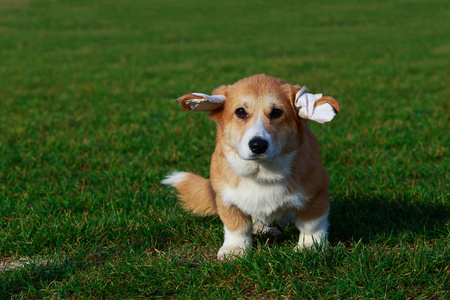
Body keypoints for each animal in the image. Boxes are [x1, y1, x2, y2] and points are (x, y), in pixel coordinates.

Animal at [161, 74, 338, 258]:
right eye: (240, 112)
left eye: (276, 112)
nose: (258, 145)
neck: (261, 172)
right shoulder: (227, 199)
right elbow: (237, 226)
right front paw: (235, 250)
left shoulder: (315, 194)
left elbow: (312, 225)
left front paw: (310, 247)